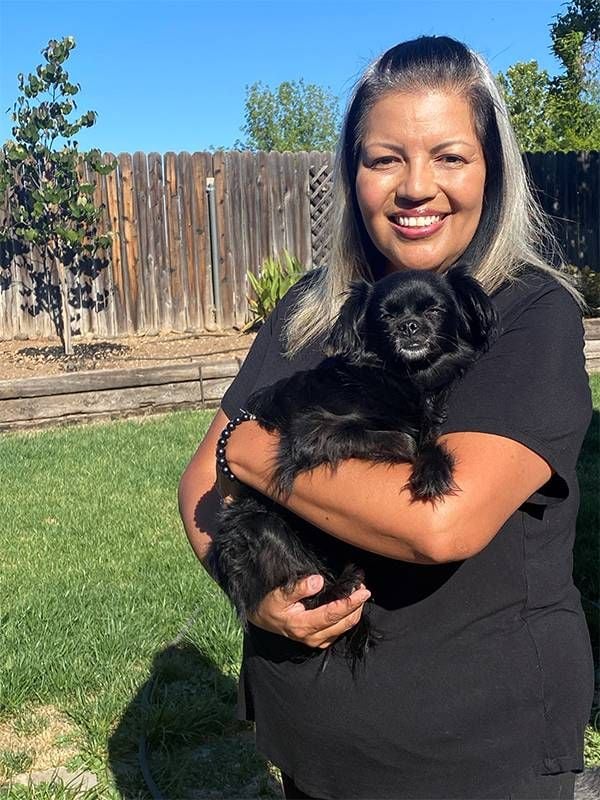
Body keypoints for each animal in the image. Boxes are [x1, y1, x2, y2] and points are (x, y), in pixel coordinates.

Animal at [209, 266, 500, 672]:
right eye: (386, 316)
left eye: (434, 309)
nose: (409, 327)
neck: (401, 376)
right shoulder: (314, 432)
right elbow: (403, 438)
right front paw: (416, 455)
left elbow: (428, 440)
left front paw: (433, 471)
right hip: (259, 524)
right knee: (310, 590)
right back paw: (340, 585)